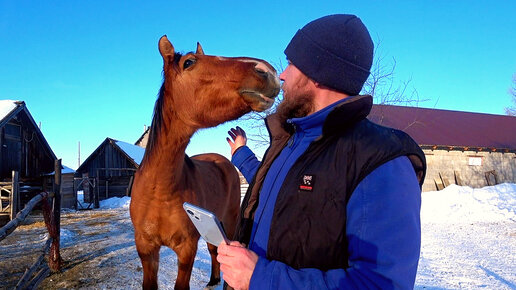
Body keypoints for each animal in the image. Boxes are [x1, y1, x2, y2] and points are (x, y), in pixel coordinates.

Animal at [131, 36, 280, 290]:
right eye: (189, 62)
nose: (267, 70)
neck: (159, 190)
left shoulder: (187, 249)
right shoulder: (146, 249)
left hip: (227, 219)